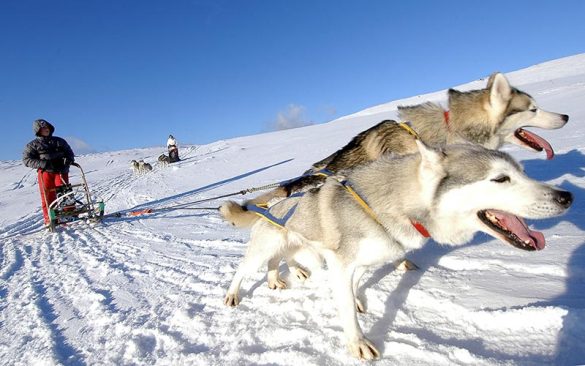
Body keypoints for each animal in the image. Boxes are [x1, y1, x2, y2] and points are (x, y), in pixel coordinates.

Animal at [224, 142, 572, 360]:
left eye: (522, 172)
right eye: (500, 178)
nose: (566, 197)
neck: (386, 206)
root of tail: (270, 205)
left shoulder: (367, 259)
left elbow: (355, 286)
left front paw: (359, 298)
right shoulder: (341, 261)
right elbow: (346, 307)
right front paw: (358, 342)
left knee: (280, 259)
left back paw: (280, 277)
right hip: (262, 250)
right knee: (245, 269)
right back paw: (233, 295)